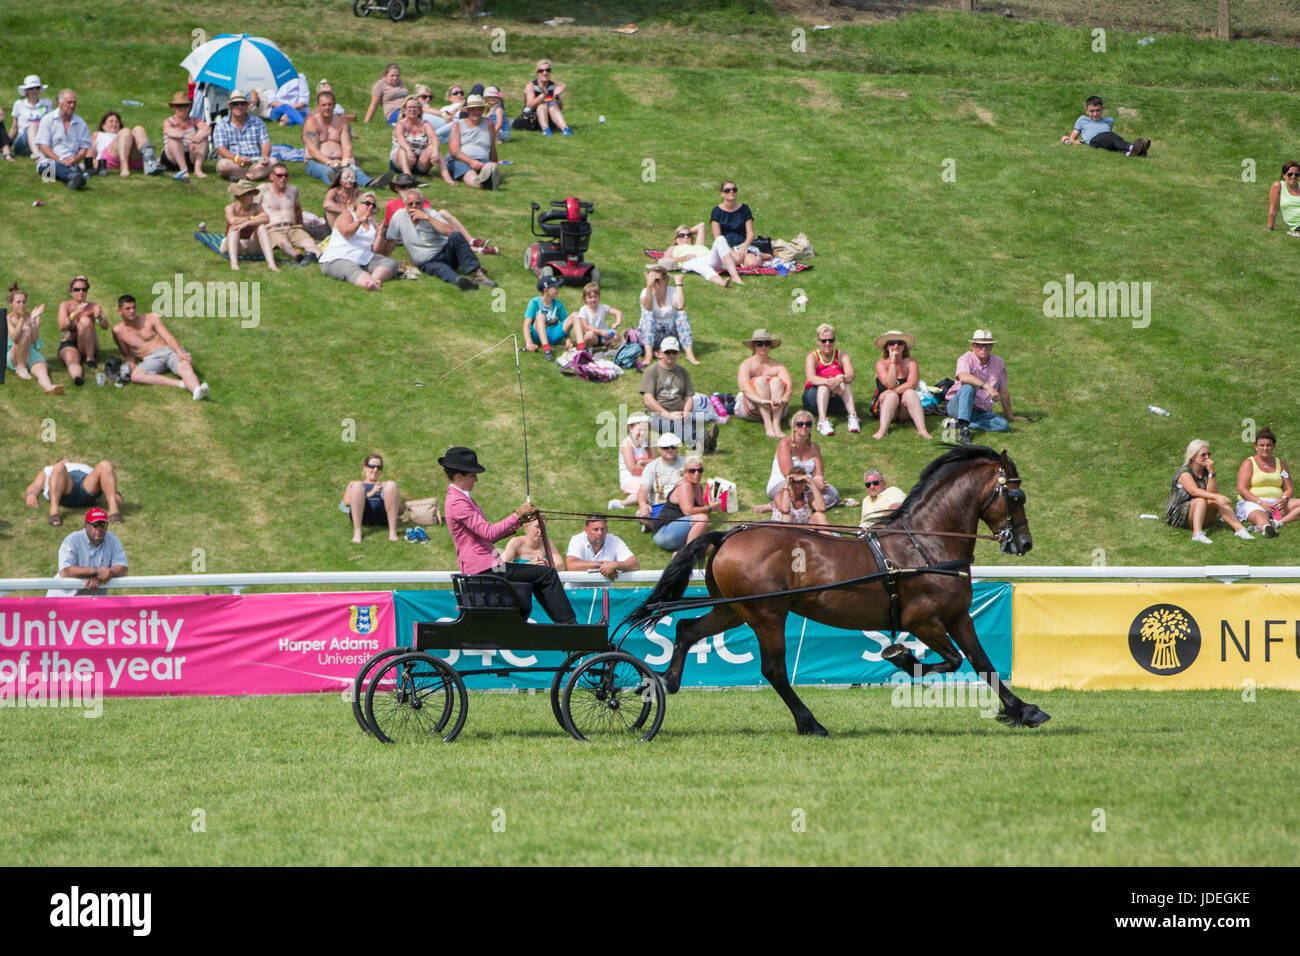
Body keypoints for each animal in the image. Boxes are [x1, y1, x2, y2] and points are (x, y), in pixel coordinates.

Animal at [616, 444, 1045, 738]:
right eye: (1017, 496)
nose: (1023, 543)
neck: (925, 544)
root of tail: (730, 534)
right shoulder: (922, 621)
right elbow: (953, 661)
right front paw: (900, 656)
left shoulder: (957, 617)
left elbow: (983, 663)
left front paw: (1023, 710)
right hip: (767, 614)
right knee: (773, 670)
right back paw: (810, 723)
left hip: (733, 609)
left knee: (687, 629)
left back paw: (666, 680)